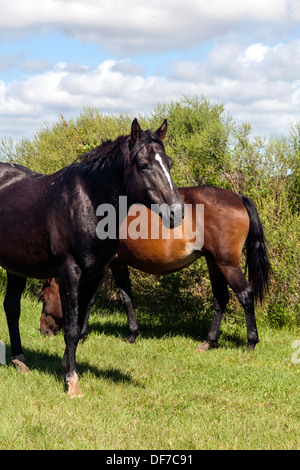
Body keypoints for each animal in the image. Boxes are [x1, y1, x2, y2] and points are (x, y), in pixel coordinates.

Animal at [0, 118, 184, 396]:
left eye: (169, 163)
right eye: (143, 165)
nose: (177, 213)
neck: (88, 203)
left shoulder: (94, 274)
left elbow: (79, 324)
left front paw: (66, 364)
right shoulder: (69, 273)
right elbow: (71, 327)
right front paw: (72, 382)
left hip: (16, 267)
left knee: (11, 308)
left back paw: (20, 361)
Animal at [38, 185, 270, 350]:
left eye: (43, 298)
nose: (42, 330)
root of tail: (238, 197)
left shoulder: (108, 265)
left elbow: (92, 299)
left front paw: (82, 334)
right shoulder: (118, 263)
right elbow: (126, 296)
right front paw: (133, 334)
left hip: (227, 264)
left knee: (245, 295)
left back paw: (251, 342)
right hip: (214, 263)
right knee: (220, 298)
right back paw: (209, 341)